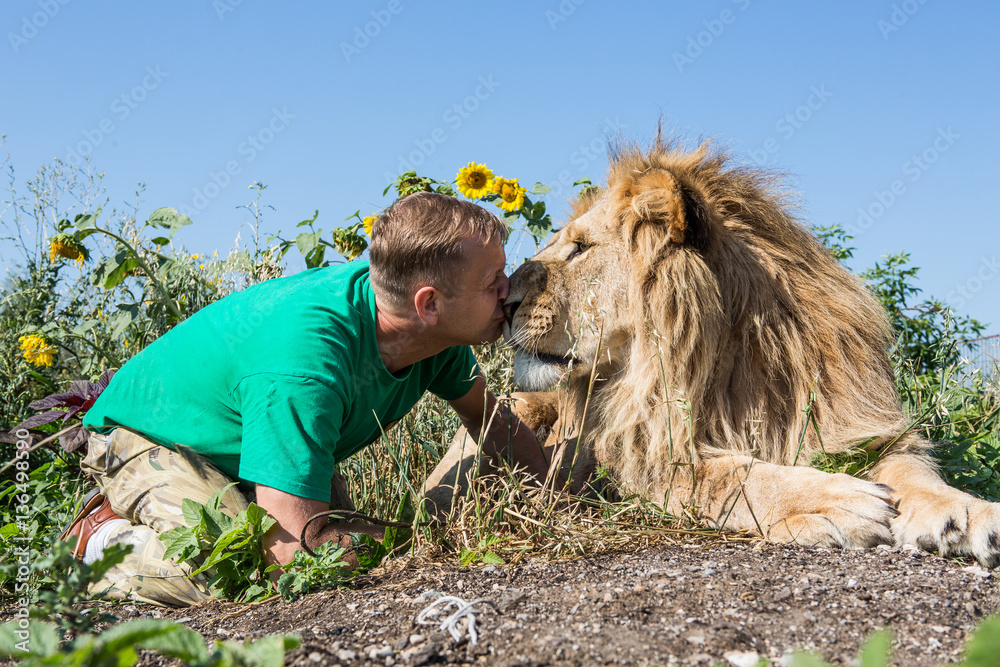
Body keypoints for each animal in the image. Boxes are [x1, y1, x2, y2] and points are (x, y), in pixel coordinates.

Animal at [423, 135, 1000, 567]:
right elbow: (732, 475)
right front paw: (840, 500)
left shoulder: (852, 423)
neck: (728, 361)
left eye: (580, 248)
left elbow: (913, 469)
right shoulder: (629, 459)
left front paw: (970, 514)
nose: (505, 303)